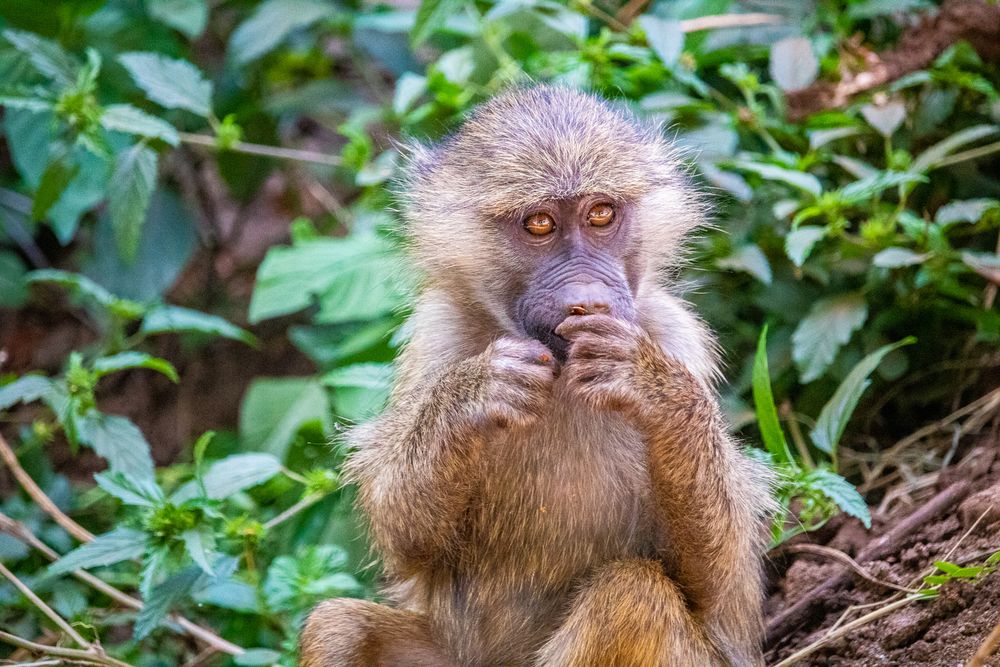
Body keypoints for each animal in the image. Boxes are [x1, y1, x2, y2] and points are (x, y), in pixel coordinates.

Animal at [300, 85, 775, 667]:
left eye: (600, 214)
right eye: (540, 224)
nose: (587, 301)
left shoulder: (675, 334)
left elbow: (722, 593)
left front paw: (651, 385)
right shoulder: (437, 337)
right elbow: (405, 540)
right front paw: (476, 394)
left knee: (631, 592)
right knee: (337, 625)